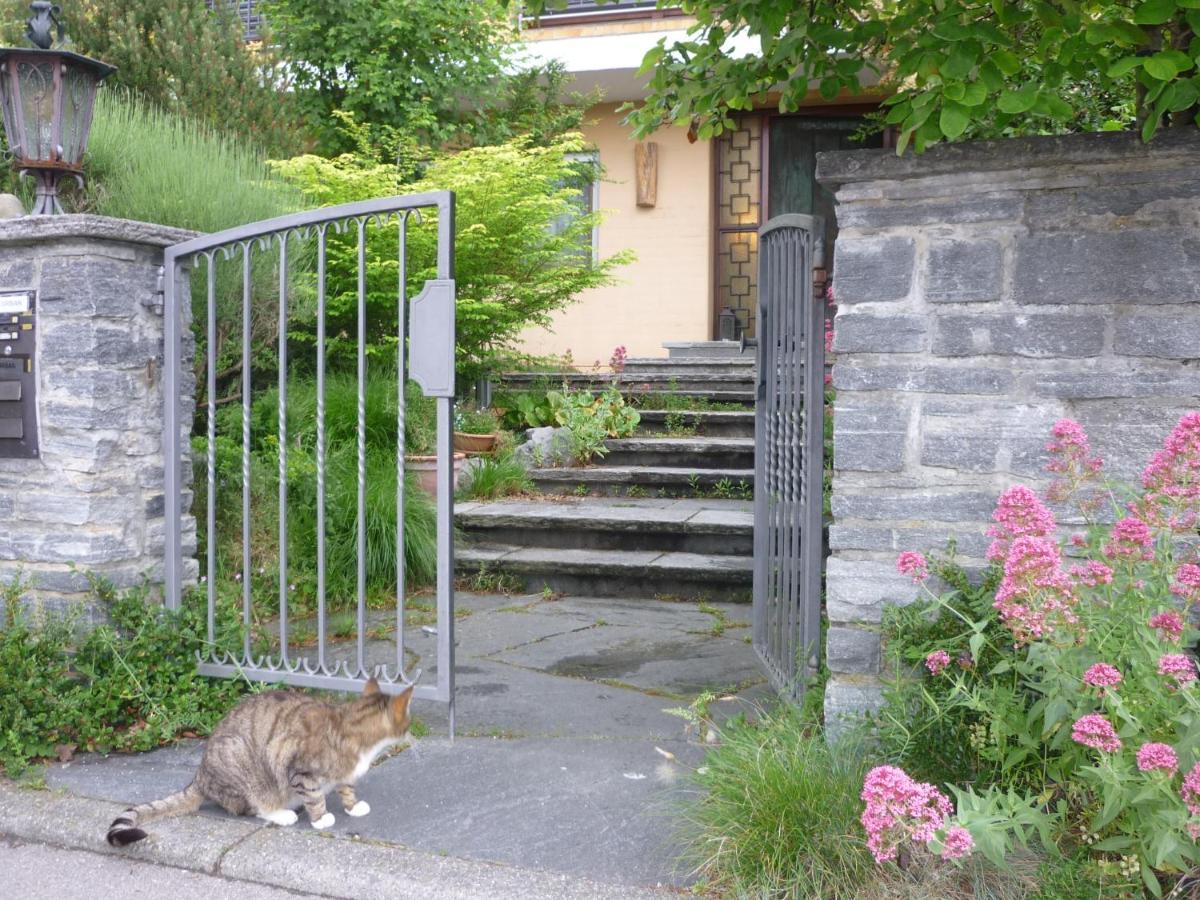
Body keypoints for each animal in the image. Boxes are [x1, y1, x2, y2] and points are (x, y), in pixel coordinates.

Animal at [108, 681, 417, 849]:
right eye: (408, 722)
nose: (412, 733)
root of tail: (200, 775)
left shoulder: (344, 774)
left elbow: (347, 788)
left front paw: (353, 806)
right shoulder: (299, 769)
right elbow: (315, 797)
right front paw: (321, 818)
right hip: (243, 767)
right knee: (253, 807)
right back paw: (283, 813)